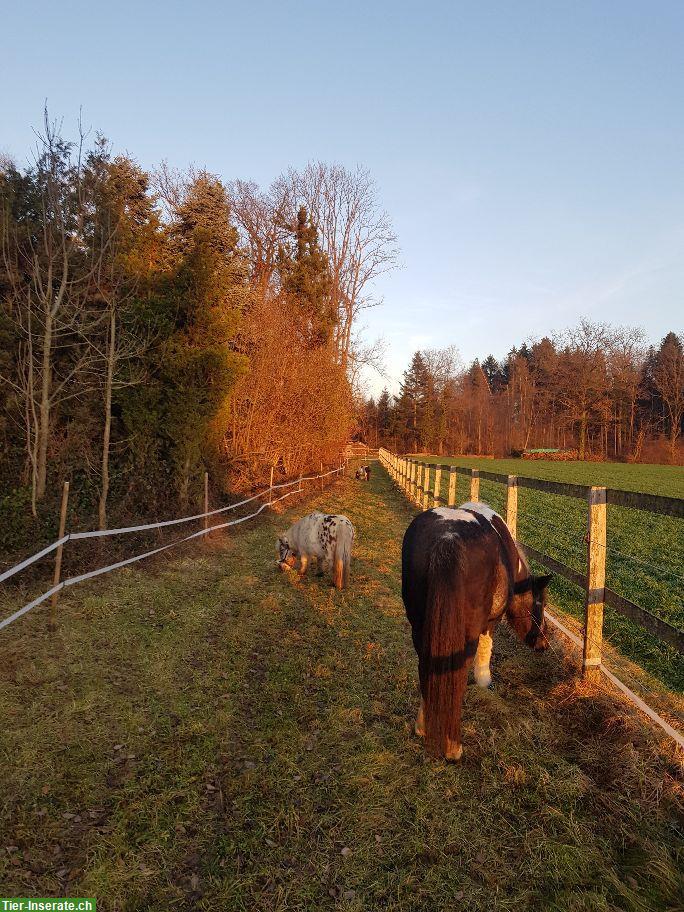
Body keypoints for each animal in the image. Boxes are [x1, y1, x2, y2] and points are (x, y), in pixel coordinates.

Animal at [400, 502, 552, 760]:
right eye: (540, 604)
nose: (543, 644)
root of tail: (447, 538)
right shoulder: (491, 621)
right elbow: (486, 648)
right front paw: (484, 681)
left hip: (420, 629)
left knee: (427, 668)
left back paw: (423, 727)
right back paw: (453, 747)